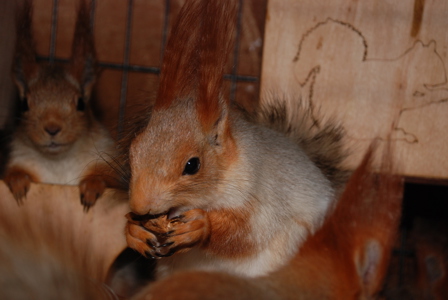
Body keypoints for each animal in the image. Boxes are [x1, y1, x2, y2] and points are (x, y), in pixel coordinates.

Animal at [3, 0, 118, 211]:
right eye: (24, 104)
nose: (52, 128)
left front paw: (92, 186)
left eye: (81, 103)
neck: (59, 161)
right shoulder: (20, 158)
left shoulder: (105, 157)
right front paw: (18, 180)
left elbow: (106, 178)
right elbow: (15, 172)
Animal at [124, 0, 348, 280]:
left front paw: (201, 226)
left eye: (192, 165)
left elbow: (245, 234)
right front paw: (133, 231)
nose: (140, 206)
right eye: (134, 150)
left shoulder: (262, 194)